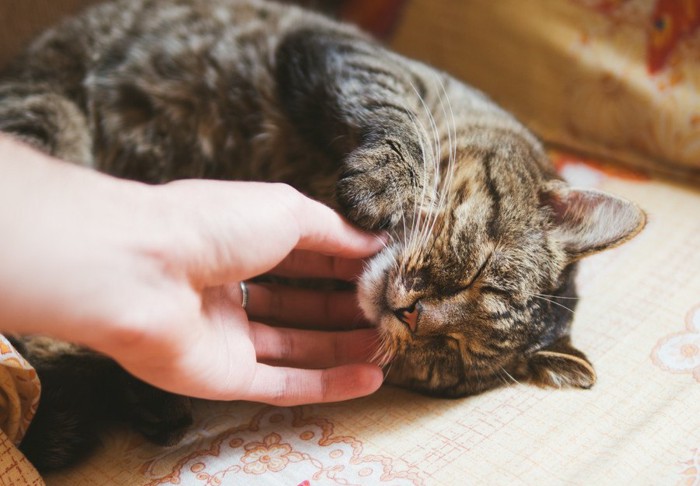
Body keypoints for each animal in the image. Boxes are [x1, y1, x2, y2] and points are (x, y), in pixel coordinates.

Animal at [0, 0, 644, 472]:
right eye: (480, 273)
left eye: (453, 355)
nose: (413, 316)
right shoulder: (340, 52)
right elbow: (396, 110)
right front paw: (384, 180)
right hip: (42, 118)